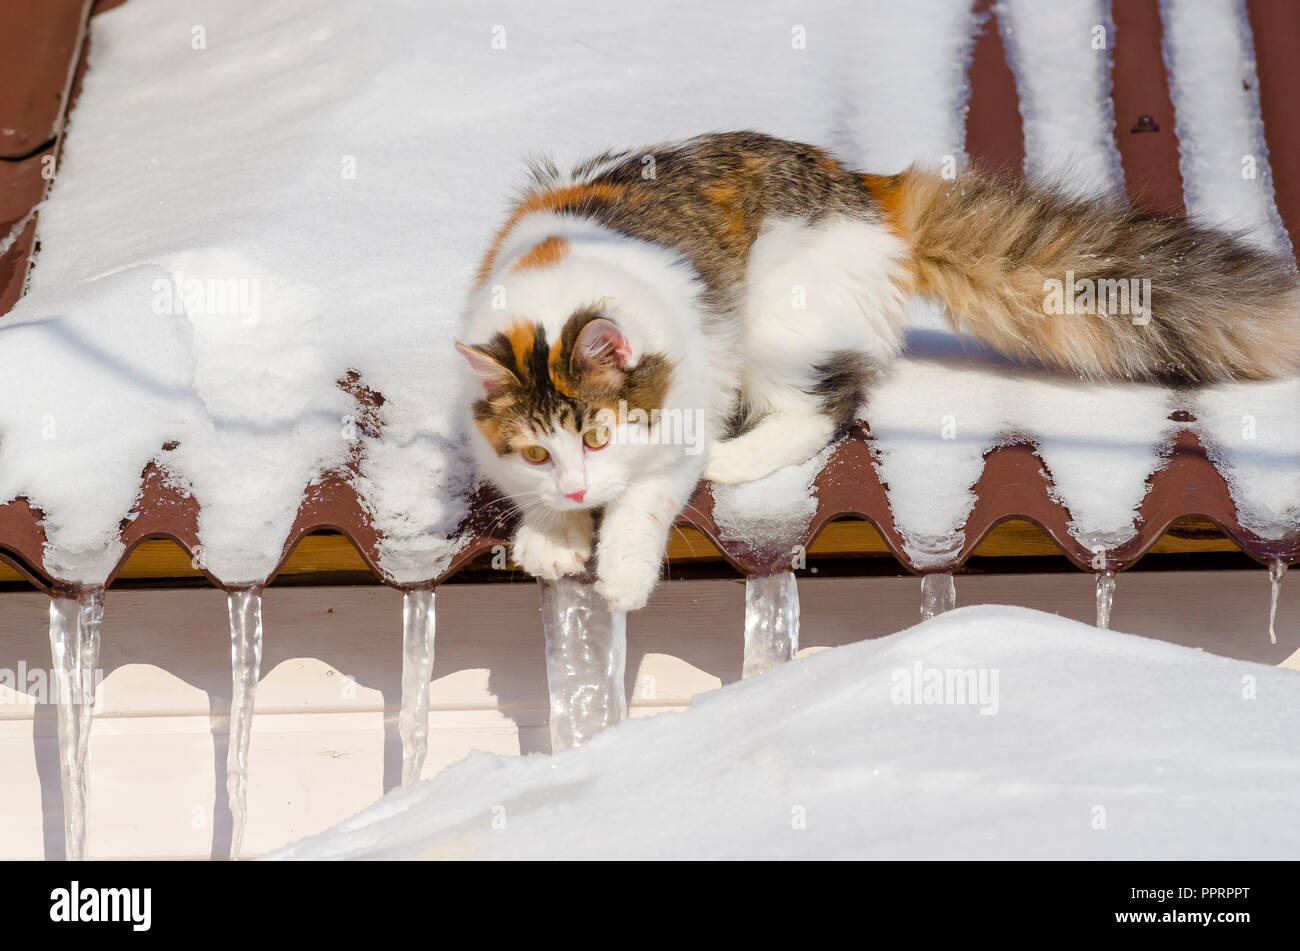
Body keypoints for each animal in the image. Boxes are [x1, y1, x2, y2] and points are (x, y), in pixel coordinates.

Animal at [457, 131, 1300, 608]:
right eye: (538, 452)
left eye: (599, 435)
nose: (576, 487)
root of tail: (869, 191)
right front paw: (553, 534)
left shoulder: (682, 406)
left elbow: (643, 505)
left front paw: (621, 575)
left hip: (775, 317)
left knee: (822, 409)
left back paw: (733, 459)